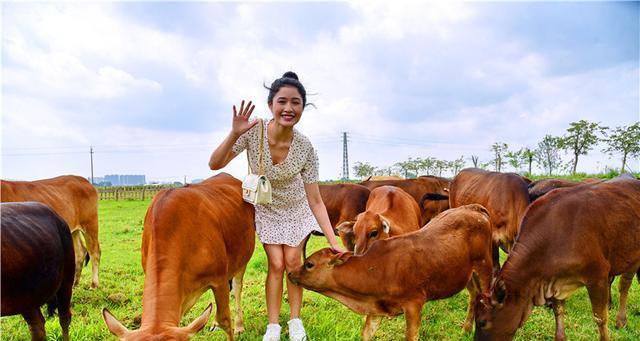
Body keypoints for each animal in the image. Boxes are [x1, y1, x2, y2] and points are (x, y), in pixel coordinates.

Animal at [290, 203, 496, 338]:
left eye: (309, 264)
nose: (290, 273)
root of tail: (473, 208)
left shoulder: (414, 304)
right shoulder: (376, 309)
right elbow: (366, 334)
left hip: (484, 268)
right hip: (466, 274)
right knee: (474, 296)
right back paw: (466, 329)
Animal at [472, 175, 640, 340]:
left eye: (482, 322)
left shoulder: (597, 276)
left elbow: (600, 318)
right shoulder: (555, 280)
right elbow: (558, 311)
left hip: (633, 258)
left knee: (624, 285)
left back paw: (620, 320)